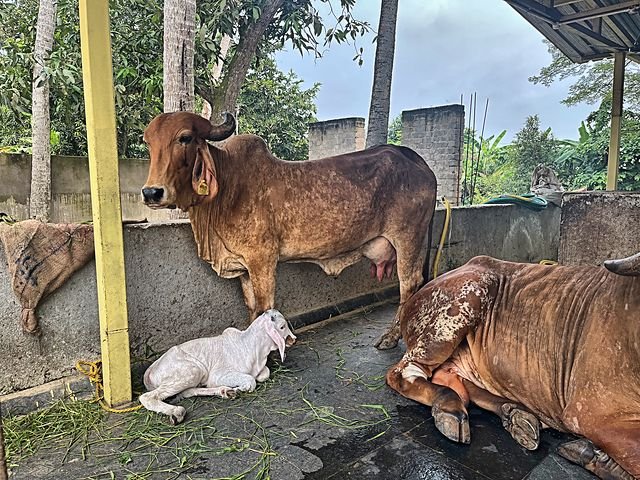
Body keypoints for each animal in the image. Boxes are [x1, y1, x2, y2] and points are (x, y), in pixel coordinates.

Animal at [141, 112, 437, 349]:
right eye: (148, 142)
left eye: (185, 138)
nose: (151, 192)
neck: (228, 187)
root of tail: (419, 163)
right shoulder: (245, 267)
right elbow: (252, 308)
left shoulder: (262, 259)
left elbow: (264, 307)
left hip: (408, 238)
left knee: (409, 284)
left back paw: (391, 337)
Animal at [386, 254, 640, 479]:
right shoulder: (590, 413)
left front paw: (597, 457)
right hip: (456, 311)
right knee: (404, 372)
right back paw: (450, 408)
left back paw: (517, 415)